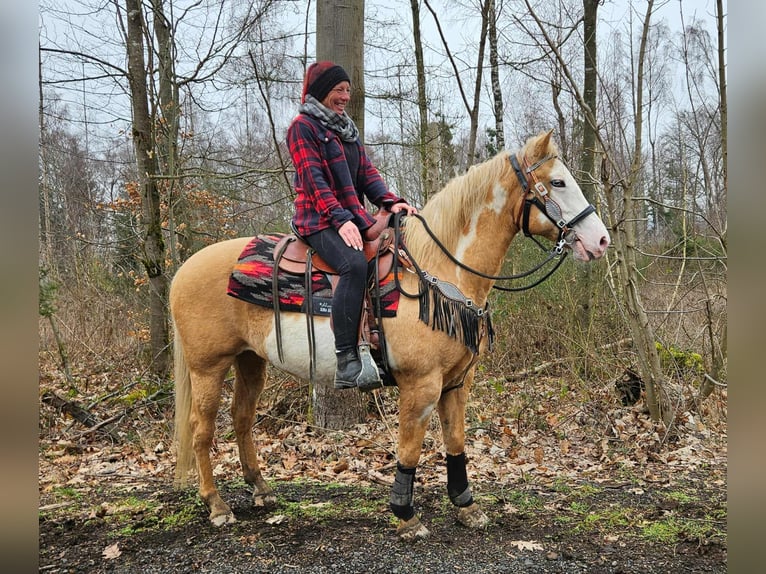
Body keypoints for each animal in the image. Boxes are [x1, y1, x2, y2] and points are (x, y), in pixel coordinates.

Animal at [170, 130, 610, 540]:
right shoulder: (421, 384)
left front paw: (466, 507)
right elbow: (410, 449)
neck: (440, 272)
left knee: (241, 418)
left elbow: (455, 442)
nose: (601, 240)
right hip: (208, 367)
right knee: (201, 430)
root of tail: (182, 270)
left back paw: (261, 489)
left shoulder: (456, 383)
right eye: (558, 182)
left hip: (250, 360)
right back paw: (217, 505)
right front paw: (406, 515)